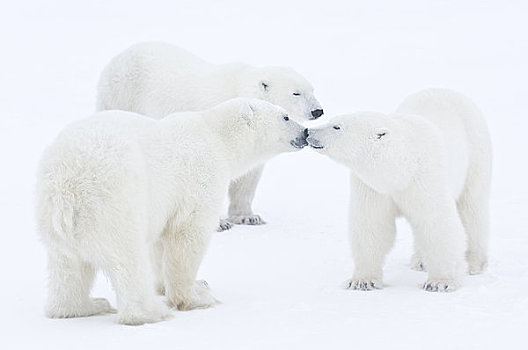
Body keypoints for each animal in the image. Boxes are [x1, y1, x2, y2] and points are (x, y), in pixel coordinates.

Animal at [37, 97, 308, 324]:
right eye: (285, 116)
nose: (305, 132)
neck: (216, 137)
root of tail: (67, 185)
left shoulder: (163, 203)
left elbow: (160, 242)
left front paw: (169, 285)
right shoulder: (200, 178)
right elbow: (187, 235)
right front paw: (195, 294)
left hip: (58, 222)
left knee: (68, 267)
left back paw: (85, 305)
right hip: (115, 203)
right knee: (129, 259)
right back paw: (149, 312)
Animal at [97, 41, 324, 230]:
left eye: (313, 90)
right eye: (296, 93)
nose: (318, 111)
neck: (240, 91)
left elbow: (248, 176)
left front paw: (248, 217)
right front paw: (219, 222)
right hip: (121, 94)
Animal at [308, 88, 492, 292]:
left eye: (337, 127)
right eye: (333, 122)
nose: (308, 132)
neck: (403, 169)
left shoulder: (425, 178)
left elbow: (437, 222)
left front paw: (440, 282)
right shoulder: (372, 186)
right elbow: (371, 224)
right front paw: (362, 280)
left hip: (476, 151)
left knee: (472, 208)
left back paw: (474, 262)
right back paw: (420, 261)